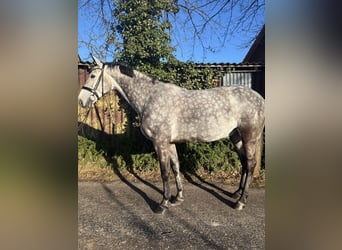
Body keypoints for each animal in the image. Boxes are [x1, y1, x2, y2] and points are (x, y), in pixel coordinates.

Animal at [79, 55, 264, 214]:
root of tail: (260, 99)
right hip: (236, 136)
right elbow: (176, 167)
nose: (81, 100)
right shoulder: (170, 143)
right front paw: (178, 197)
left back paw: (240, 202)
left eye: (93, 76)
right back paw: (236, 193)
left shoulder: (160, 142)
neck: (149, 98)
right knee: (244, 162)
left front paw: (163, 204)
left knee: (251, 164)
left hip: (249, 136)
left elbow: (164, 172)